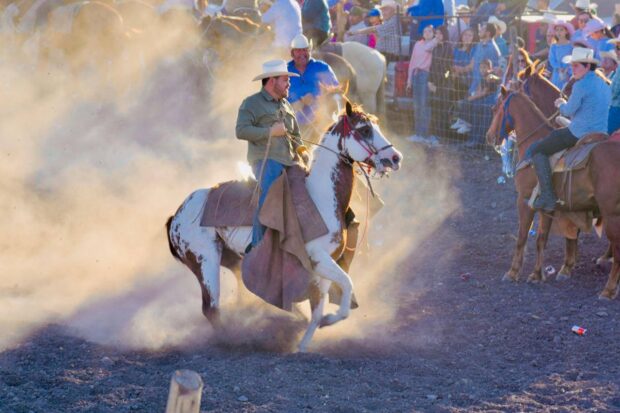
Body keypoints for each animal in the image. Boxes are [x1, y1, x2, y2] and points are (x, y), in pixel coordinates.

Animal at [166, 101, 403, 351]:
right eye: (365, 129)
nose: (396, 158)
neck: (319, 196)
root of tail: (178, 214)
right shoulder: (317, 259)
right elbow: (346, 284)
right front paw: (327, 321)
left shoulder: (325, 264)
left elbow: (319, 309)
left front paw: (306, 342)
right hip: (205, 260)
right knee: (211, 308)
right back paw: (234, 339)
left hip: (232, 259)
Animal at [486, 88, 620, 300]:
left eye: (494, 108)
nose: (489, 137)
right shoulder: (547, 208)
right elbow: (541, 239)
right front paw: (536, 274)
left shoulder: (524, 201)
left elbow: (522, 236)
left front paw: (513, 272)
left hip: (612, 214)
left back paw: (608, 290)